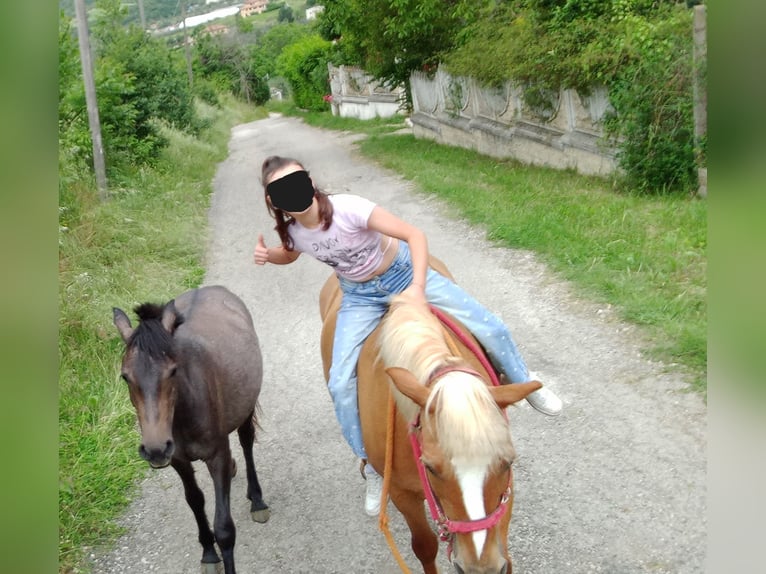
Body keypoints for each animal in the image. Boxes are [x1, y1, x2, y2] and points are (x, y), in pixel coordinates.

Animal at [112, 288, 272, 574]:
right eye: (125, 377)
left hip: (246, 408)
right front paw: (208, 553)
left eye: (173, 371)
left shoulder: (216, 456)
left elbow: (224, 529)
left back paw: (257, 500)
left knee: (246, 443)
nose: (155, 449)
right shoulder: (179, 461)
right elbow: (195, 501)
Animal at [318, 262, 540, 574]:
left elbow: (504, 541)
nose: (480, 567)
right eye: (431, 468)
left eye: (507, 463)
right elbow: (424, 546)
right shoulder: (401, 493)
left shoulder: (506, 494)